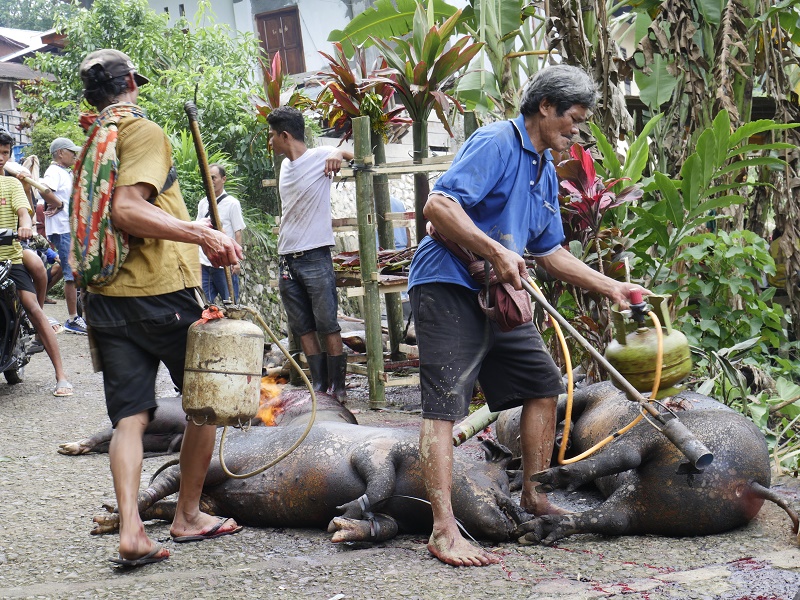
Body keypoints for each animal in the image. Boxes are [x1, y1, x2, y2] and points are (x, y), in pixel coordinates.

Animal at [91, 422, 527, 543]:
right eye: (502, 481)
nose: (518, 519)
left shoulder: (399, 519)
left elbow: (385, 525)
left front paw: (339, 527)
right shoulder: (377, 450)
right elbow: (378, 482)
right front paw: (346, 509)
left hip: (215, 500)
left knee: (175, 505)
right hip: (218, 464)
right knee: (166, 481)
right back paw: (108, 518)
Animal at [498, 382, 799, 545]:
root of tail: (752, 482)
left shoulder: (585, 395)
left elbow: (558, 410)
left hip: (657, 435)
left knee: (627, 455)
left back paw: (556, 478)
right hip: (659, 508)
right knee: (613, 519)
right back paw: (539, 528)